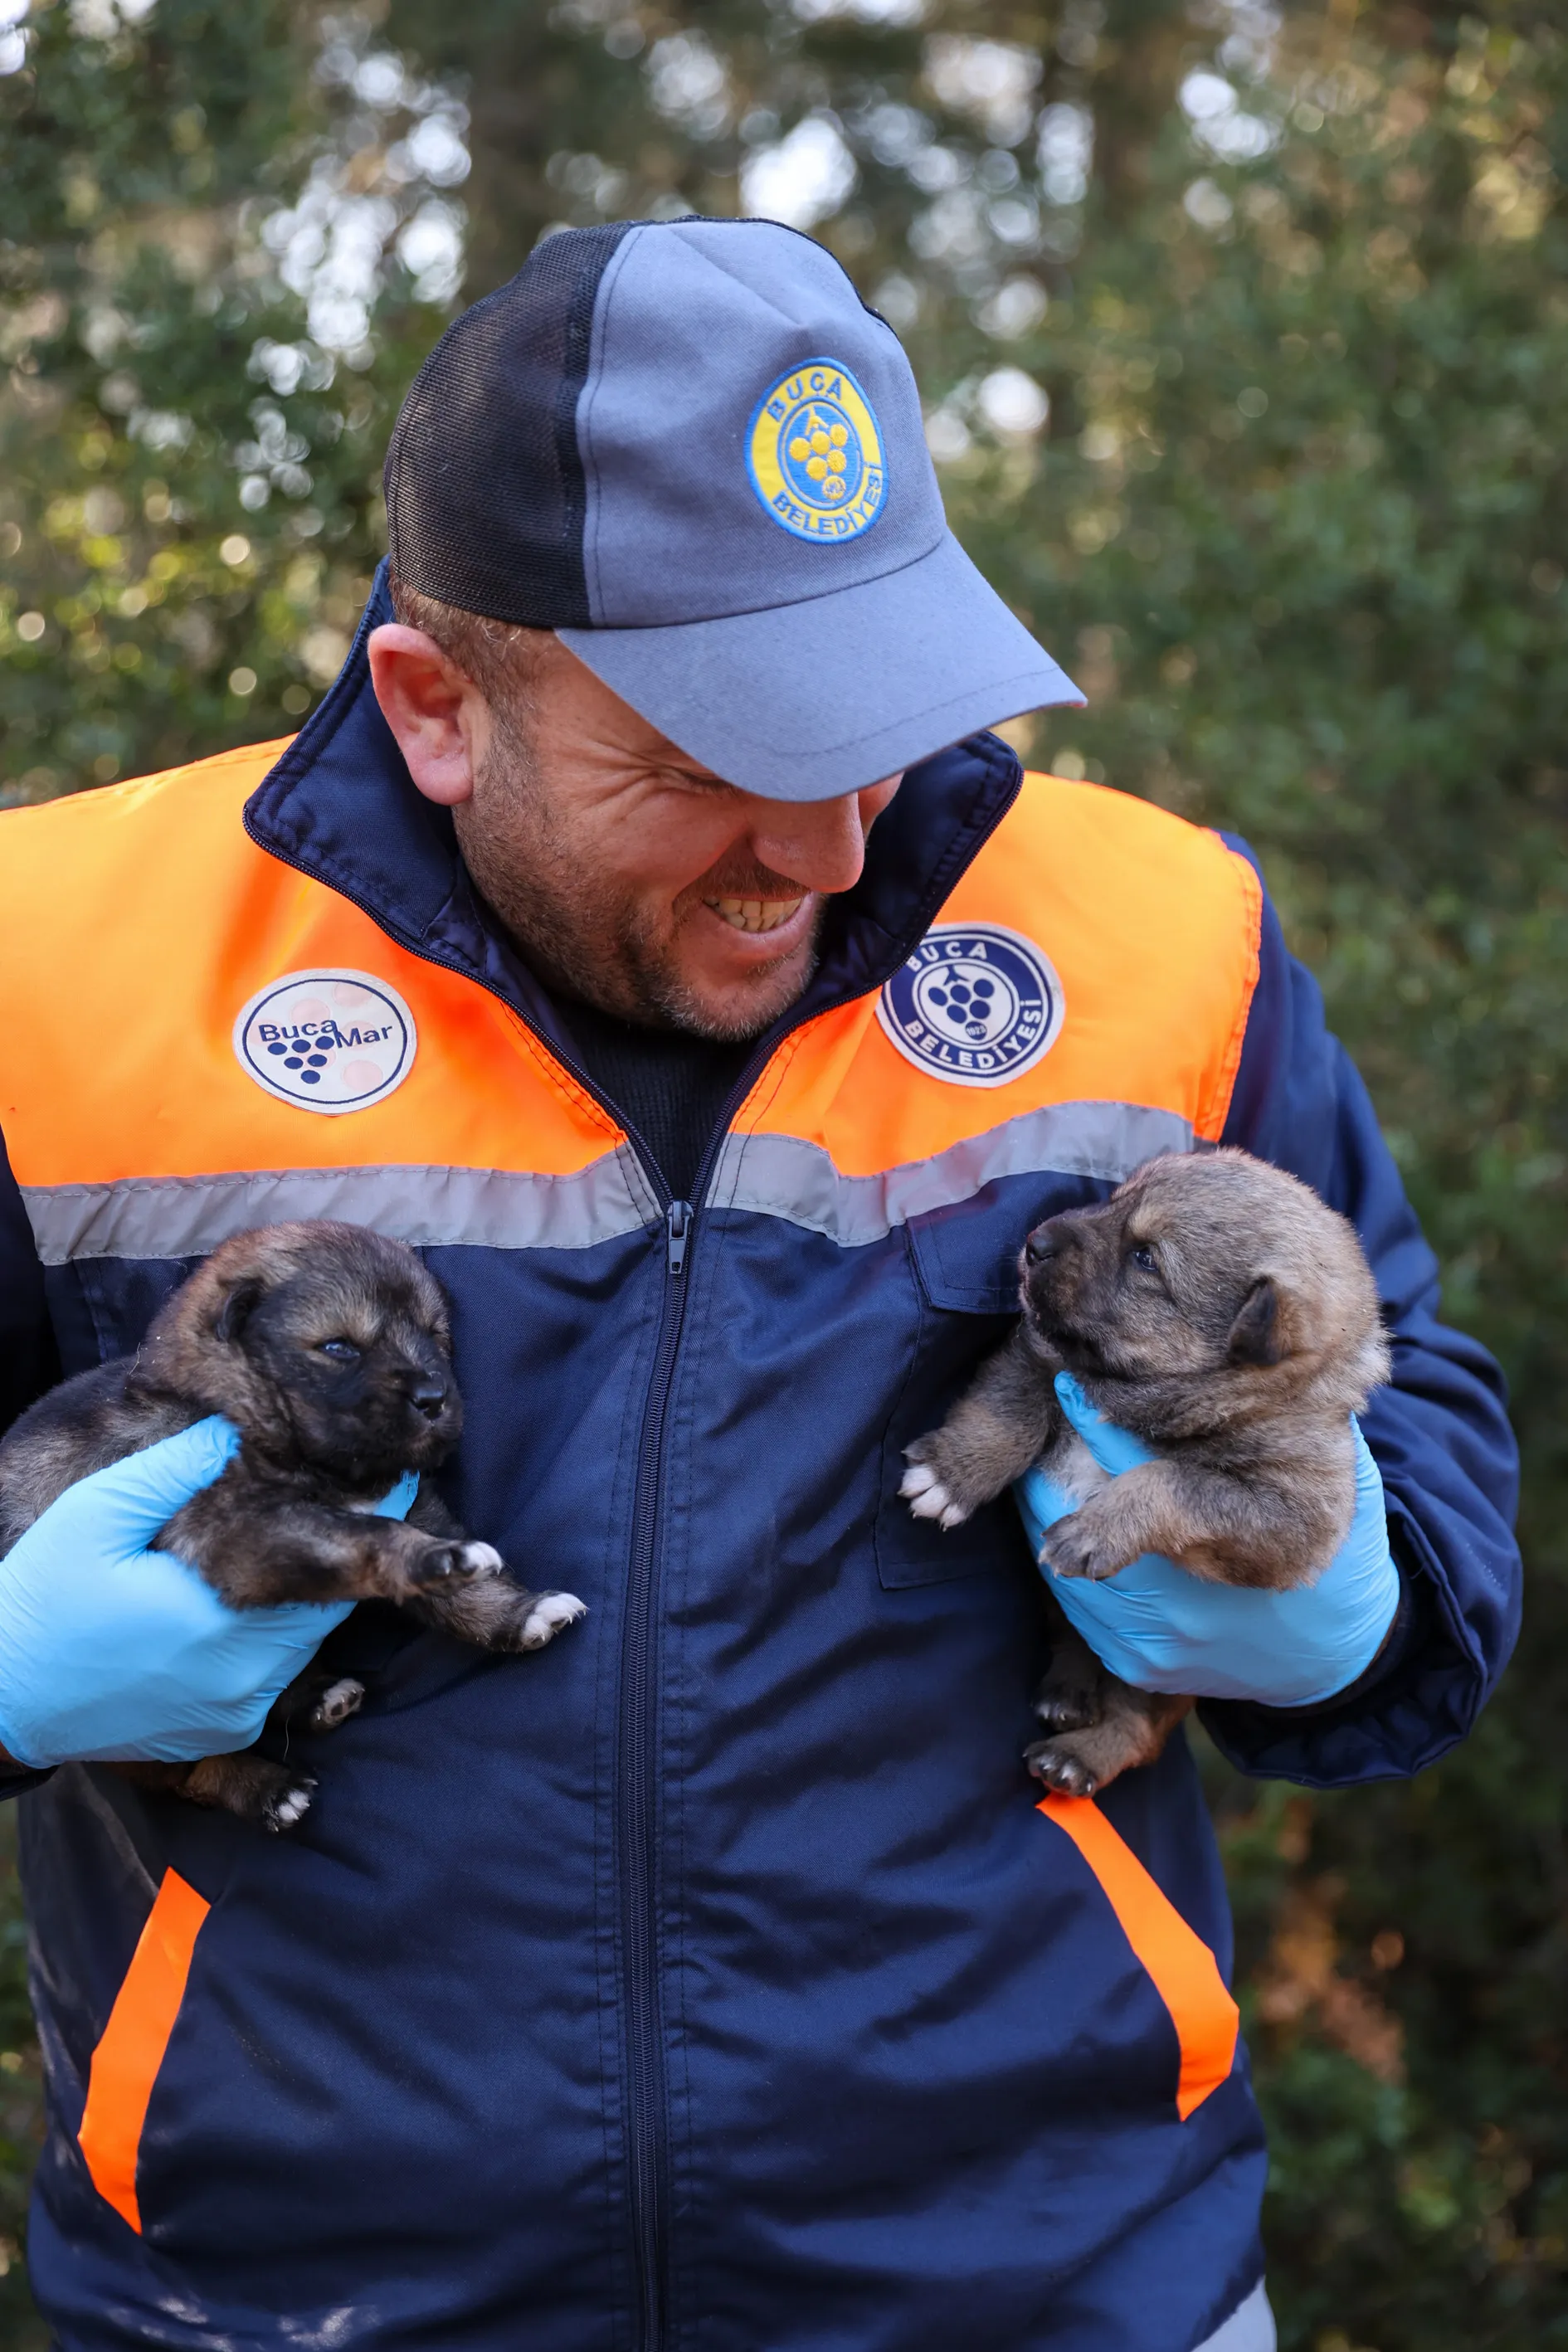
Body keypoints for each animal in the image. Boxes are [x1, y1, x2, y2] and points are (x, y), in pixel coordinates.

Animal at [0, 1223, 585, 1824]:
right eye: (338, 1346)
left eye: (433, 1335)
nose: (433, 1397)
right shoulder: (237, 1526)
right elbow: (368, 1536)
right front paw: (434, 1559)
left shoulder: (413, 1502)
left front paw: (519, 1612)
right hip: (127, 1726)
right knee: (193, 1771)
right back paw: (267, 1788)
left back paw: (321, 1696)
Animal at [903, 1157, 1391, 1796]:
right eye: (1115, 1201)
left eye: (1145, 1258)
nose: (1036, 1241)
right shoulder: (1038, 1355)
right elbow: (1009, 1412)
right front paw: (954, 1473)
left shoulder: (1289, 1516)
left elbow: (1171, 1479)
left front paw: (1095, 1528)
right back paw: (1068, 1690)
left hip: (1176, 1672)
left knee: (1138, 1727)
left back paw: (1078, 1755)